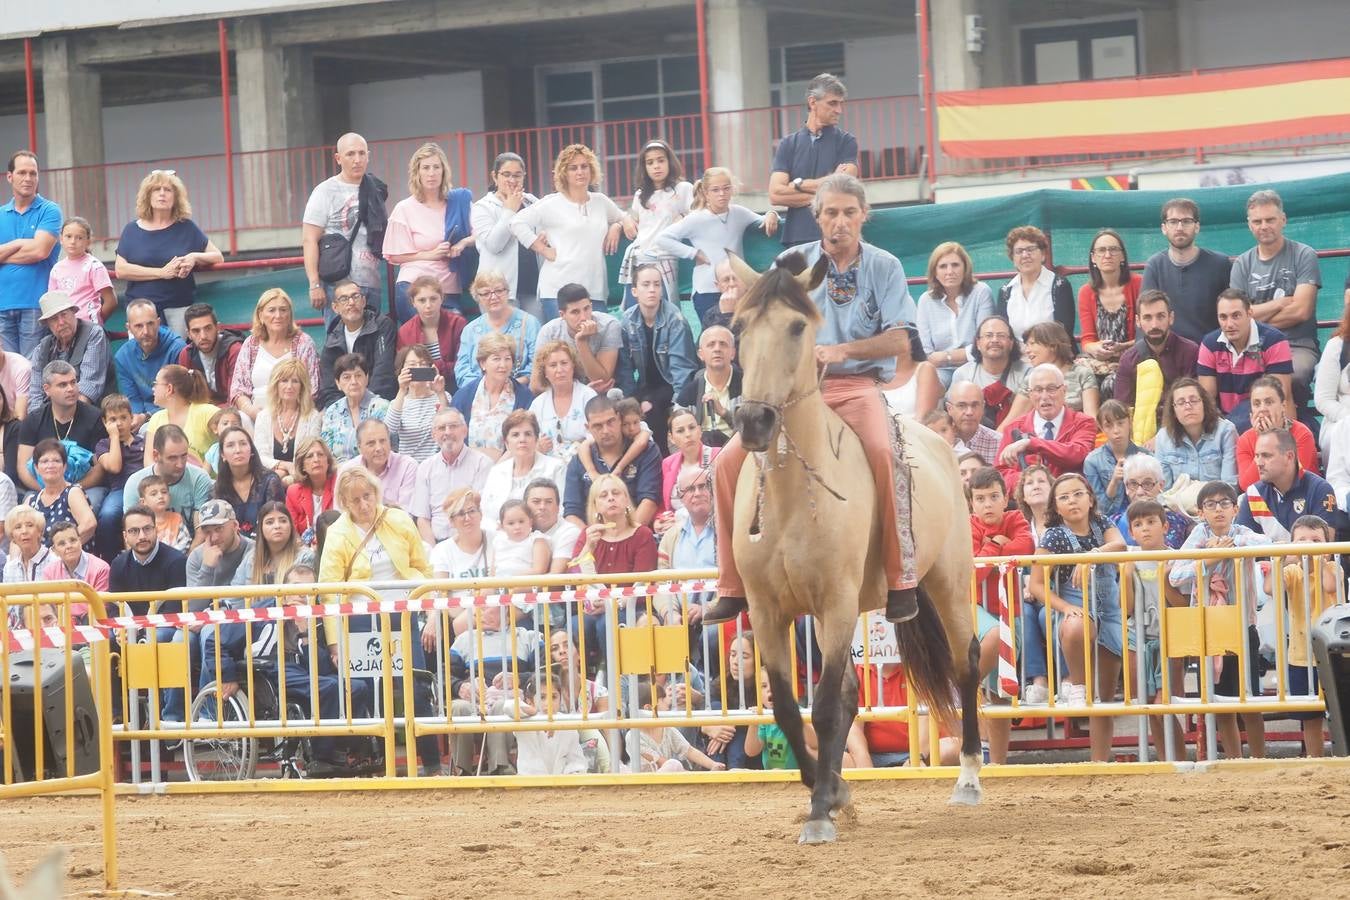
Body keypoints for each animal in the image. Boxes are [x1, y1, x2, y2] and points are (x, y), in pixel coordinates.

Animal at [729, 252, 982, 847]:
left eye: (797, 327)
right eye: (740, 327)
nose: (753, 421)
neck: (793, 497)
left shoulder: (838, 602)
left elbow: (821, 706)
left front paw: (821, 813)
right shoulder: (768, 610)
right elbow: (790, 706)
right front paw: (831, 792)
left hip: (947, 584)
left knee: (966, 663)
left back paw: (968, 779)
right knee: (847, 692)